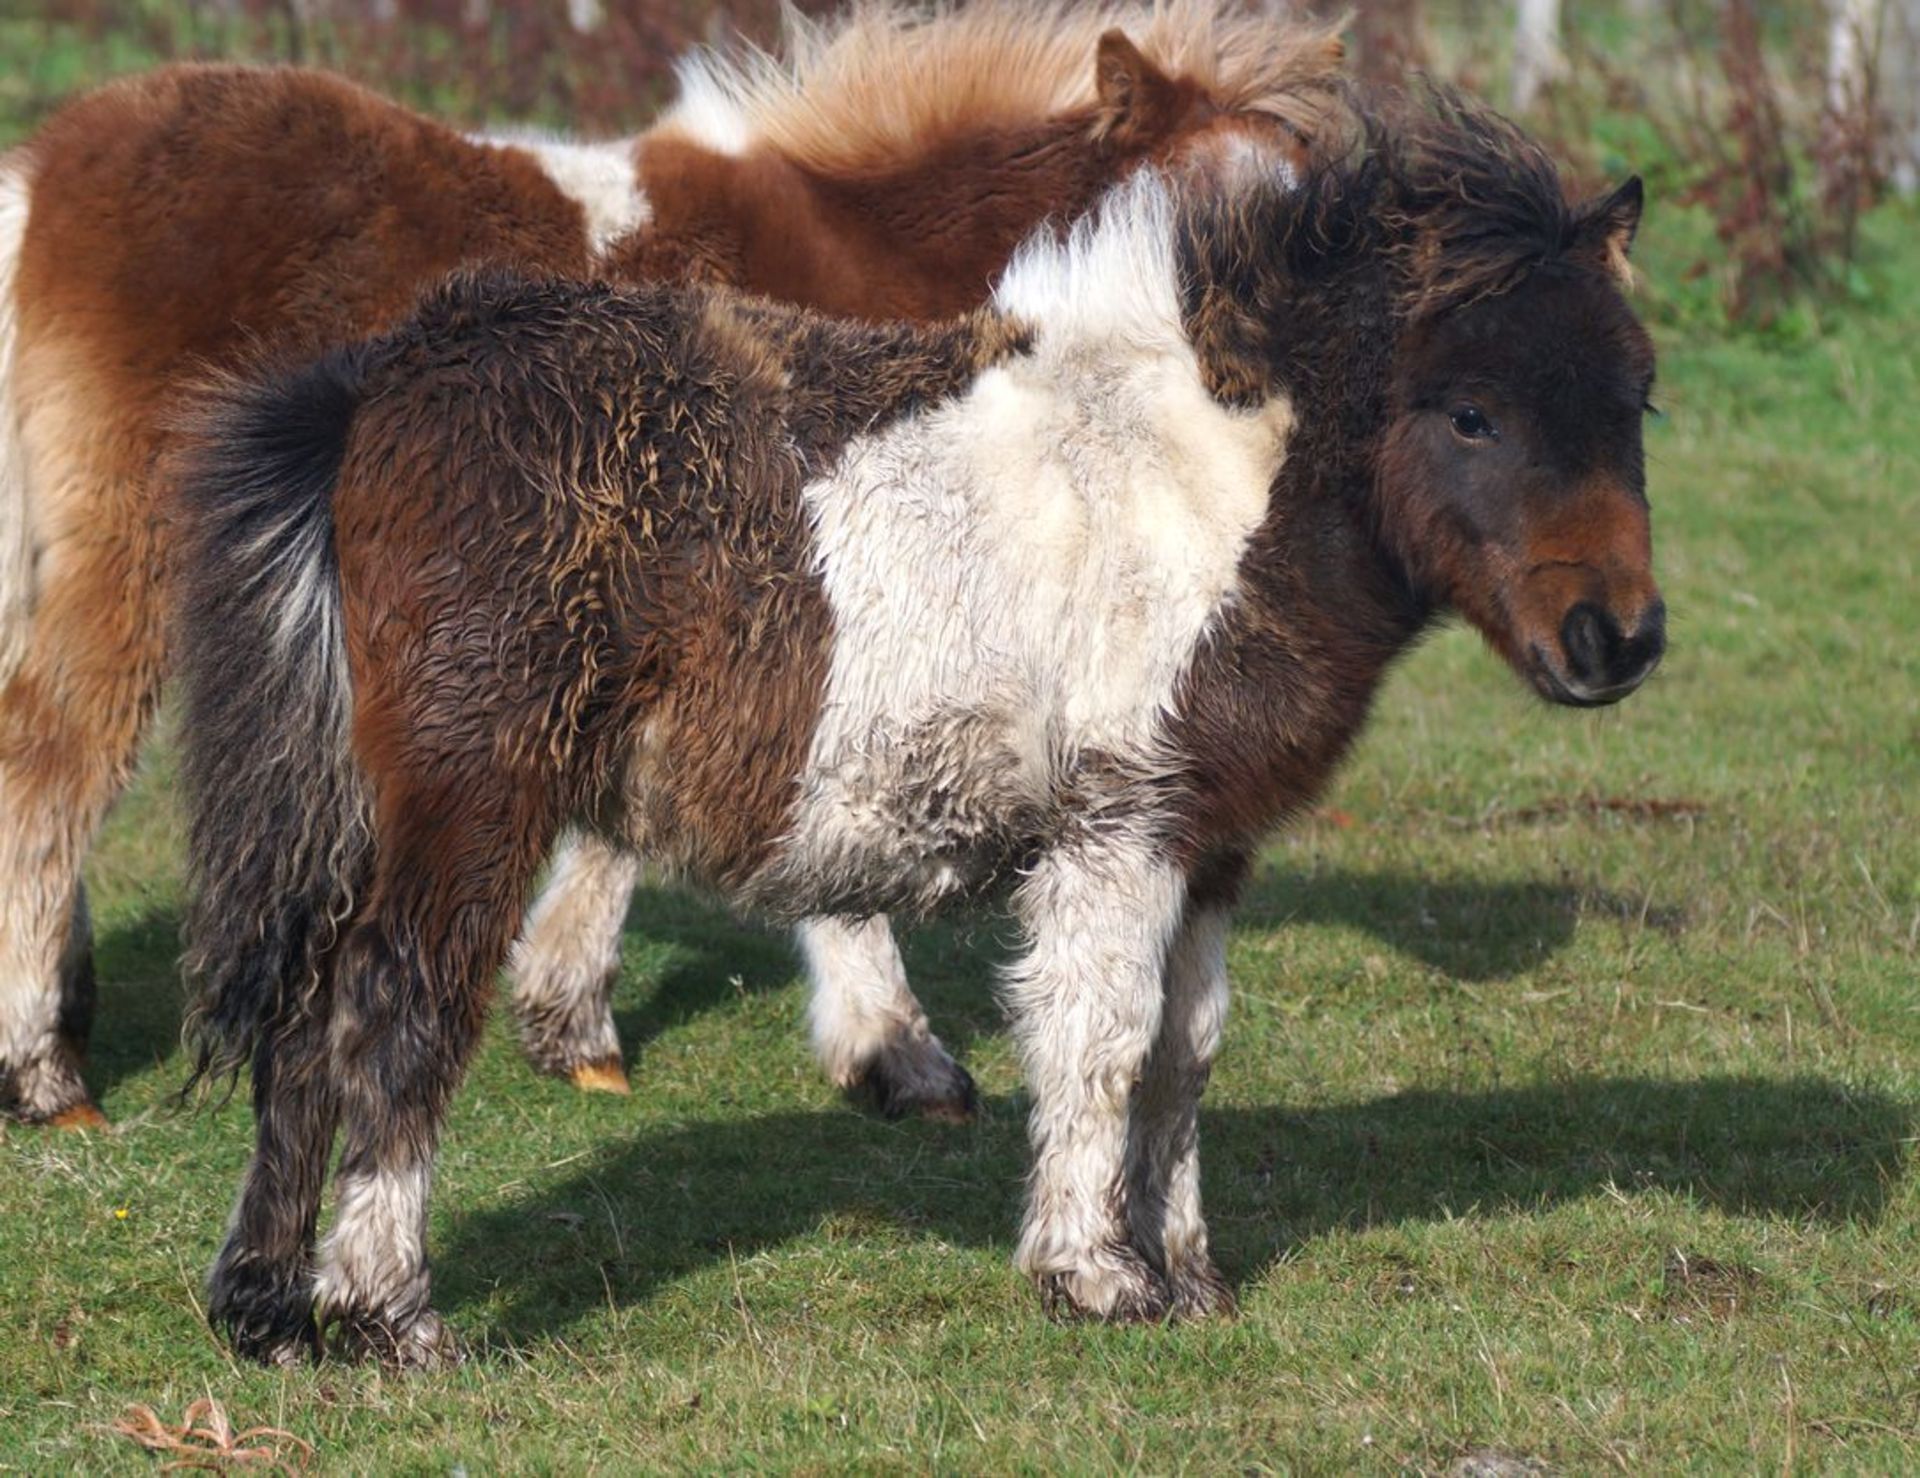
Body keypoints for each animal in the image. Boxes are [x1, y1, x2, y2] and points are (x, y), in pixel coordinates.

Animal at [0, 0, 1344, 1120]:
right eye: (1210, 227)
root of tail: (40, 181)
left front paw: (569, 1018)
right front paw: (896, 1050)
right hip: (134, 542)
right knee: (51, 756)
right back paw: (42, 1072)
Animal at [172, 89, 1658, 1358]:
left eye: (1635, 399)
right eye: (1469, 413)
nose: (1617, 640)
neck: (1198, 482)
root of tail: (384, 382)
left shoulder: (1209, 840)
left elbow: (1185, 1054)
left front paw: (1189, 1273)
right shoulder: (1116, 829)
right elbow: (1101, 1039)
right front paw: (1096, 1277)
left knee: (303, 1008)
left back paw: (266, 1308)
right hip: (475, 794)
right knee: (394, 999)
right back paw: (389, 1314)